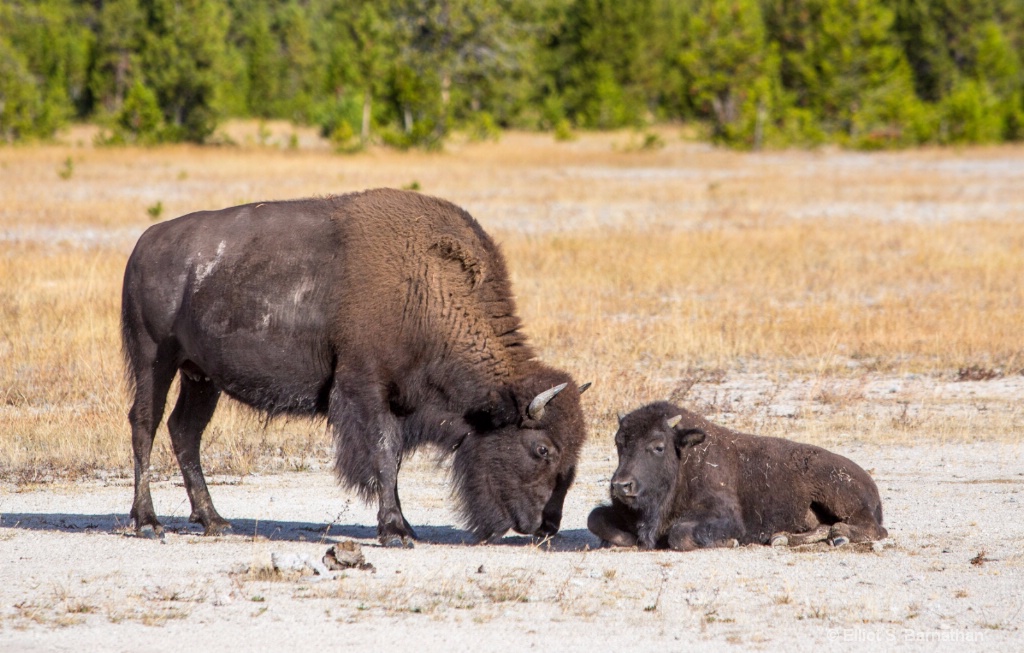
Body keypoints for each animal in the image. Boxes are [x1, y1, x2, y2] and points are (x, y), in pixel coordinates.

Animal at [120, 188, 589, 548]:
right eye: (542, 449)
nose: (547, 526)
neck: (425, 287)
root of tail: (145, 243)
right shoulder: (365, 387)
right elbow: (383, 454)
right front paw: (395, 531)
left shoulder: (398, 401)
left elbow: (393, 459)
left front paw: (404, 527)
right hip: (155, 359)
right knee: (145, 424)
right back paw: (148, 523)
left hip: (201, 376)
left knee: (185, 430)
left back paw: (214, 521)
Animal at [593, 405, 888, 552]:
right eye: (619, 442)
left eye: (658, 446)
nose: (621, 485)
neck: (683, 458)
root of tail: (869, 483)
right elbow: (595, 518)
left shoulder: (725, 516)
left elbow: (680, 534)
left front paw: (731, 542)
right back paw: (782, 539)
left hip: (840, 498)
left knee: (874, 529)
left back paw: (839, 536)